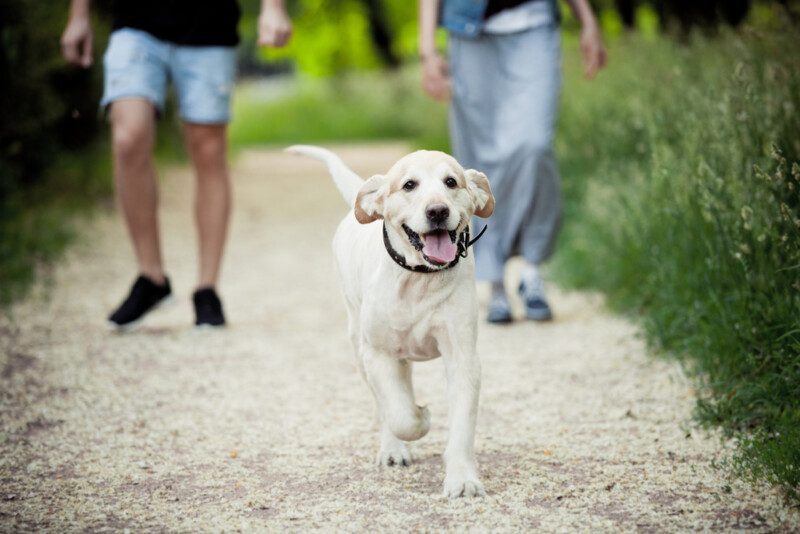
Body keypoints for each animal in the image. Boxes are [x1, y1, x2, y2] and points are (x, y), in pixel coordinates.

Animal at [288, 146, 494, 498]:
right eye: (409, 185)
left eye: (451, 182)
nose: (437, 211)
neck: (420, 279)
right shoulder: (379, 354)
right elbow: (400, 415)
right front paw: (421, 418)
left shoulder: (463, 356)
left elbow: (462, 425)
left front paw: (463, 479)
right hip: (360, 347)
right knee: (385, 404)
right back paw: (393, 449)